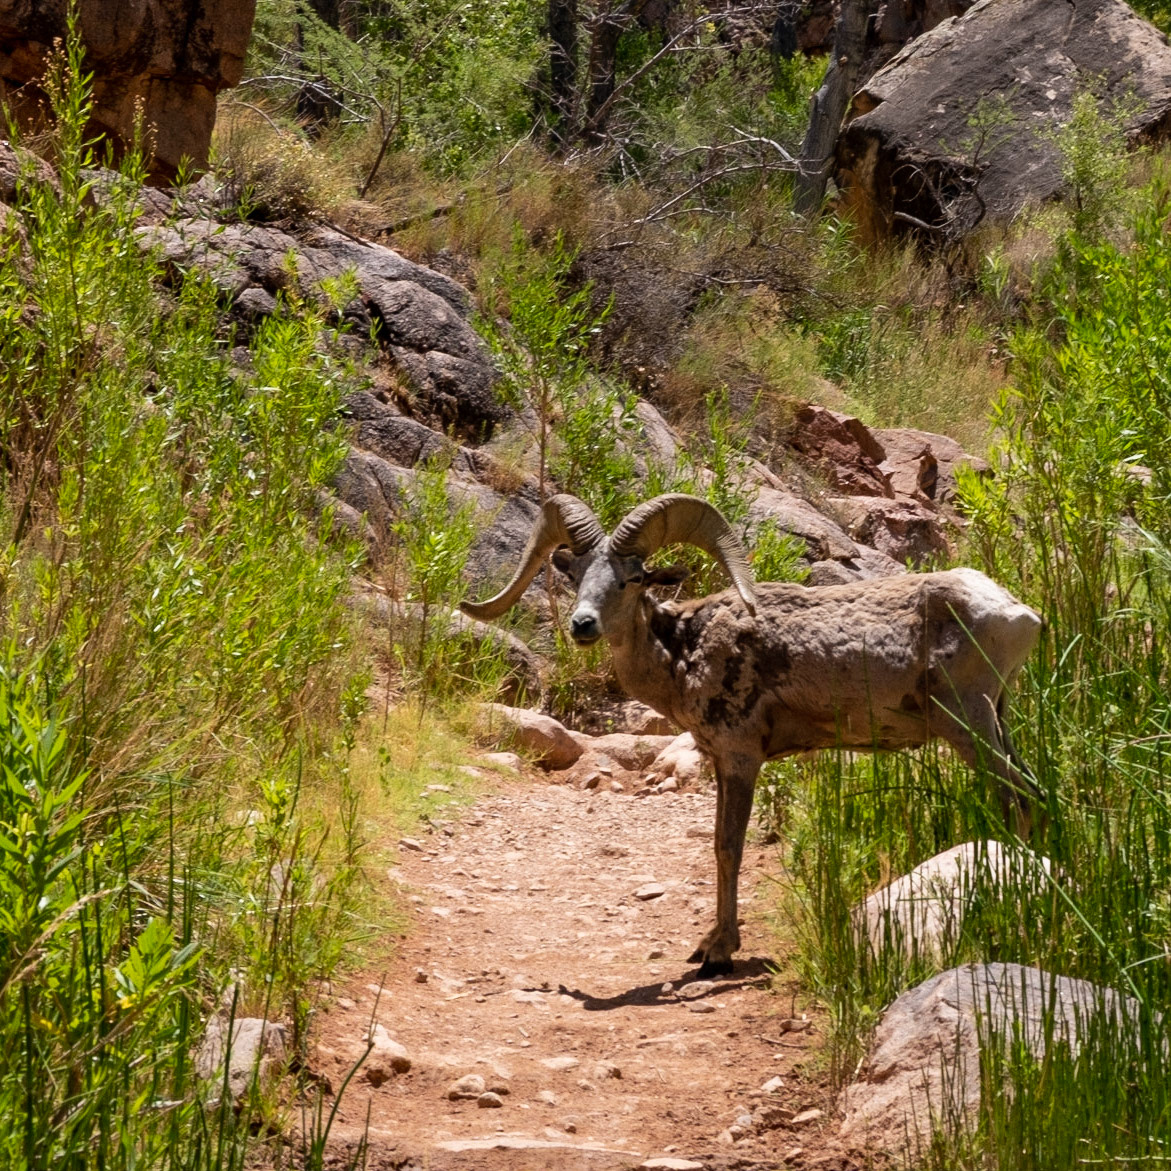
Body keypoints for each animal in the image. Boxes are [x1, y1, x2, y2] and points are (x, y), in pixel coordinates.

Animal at [462, 493, 1045, 977]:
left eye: (632, 579)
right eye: (576, 574)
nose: (583, 625)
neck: (684, 649)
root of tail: (1021, 615)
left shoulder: (743, 757)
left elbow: (728, 847)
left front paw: (718, 954)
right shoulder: (722, 761)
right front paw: (708, 944)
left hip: (970, 724)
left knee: (1019, 798)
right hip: (996, 719)